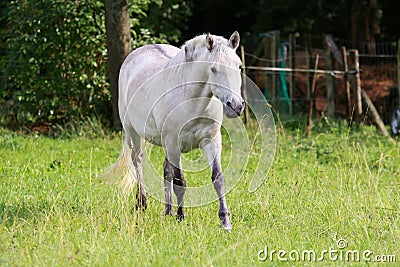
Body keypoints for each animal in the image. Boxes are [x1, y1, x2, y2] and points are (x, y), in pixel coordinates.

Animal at [100, 31, 244, 232]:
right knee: (138, 162)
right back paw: (142, 203)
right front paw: (181, 216)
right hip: (133, 133)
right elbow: (180, 181)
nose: (236, 106)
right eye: (214, 69)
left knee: (165, 169)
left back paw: (167, 210)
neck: (191, 98)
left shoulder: (211, 141)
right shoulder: (173, 144)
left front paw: (225, 221)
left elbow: (218, 179)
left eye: (239, 66)